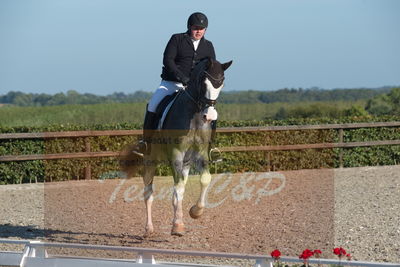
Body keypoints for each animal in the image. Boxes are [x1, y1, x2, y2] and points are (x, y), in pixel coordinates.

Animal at [121, 58, 231, 237]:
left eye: (221, 84)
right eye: (204, 83)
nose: (209, 116)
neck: (194, 115)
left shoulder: (200, 154)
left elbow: (204, 180)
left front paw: (195, 212)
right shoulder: (176, 154)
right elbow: (177, 189)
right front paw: (178, 226)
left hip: (186, 163)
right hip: (150, 161)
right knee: (148, 193)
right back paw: (149, 229)